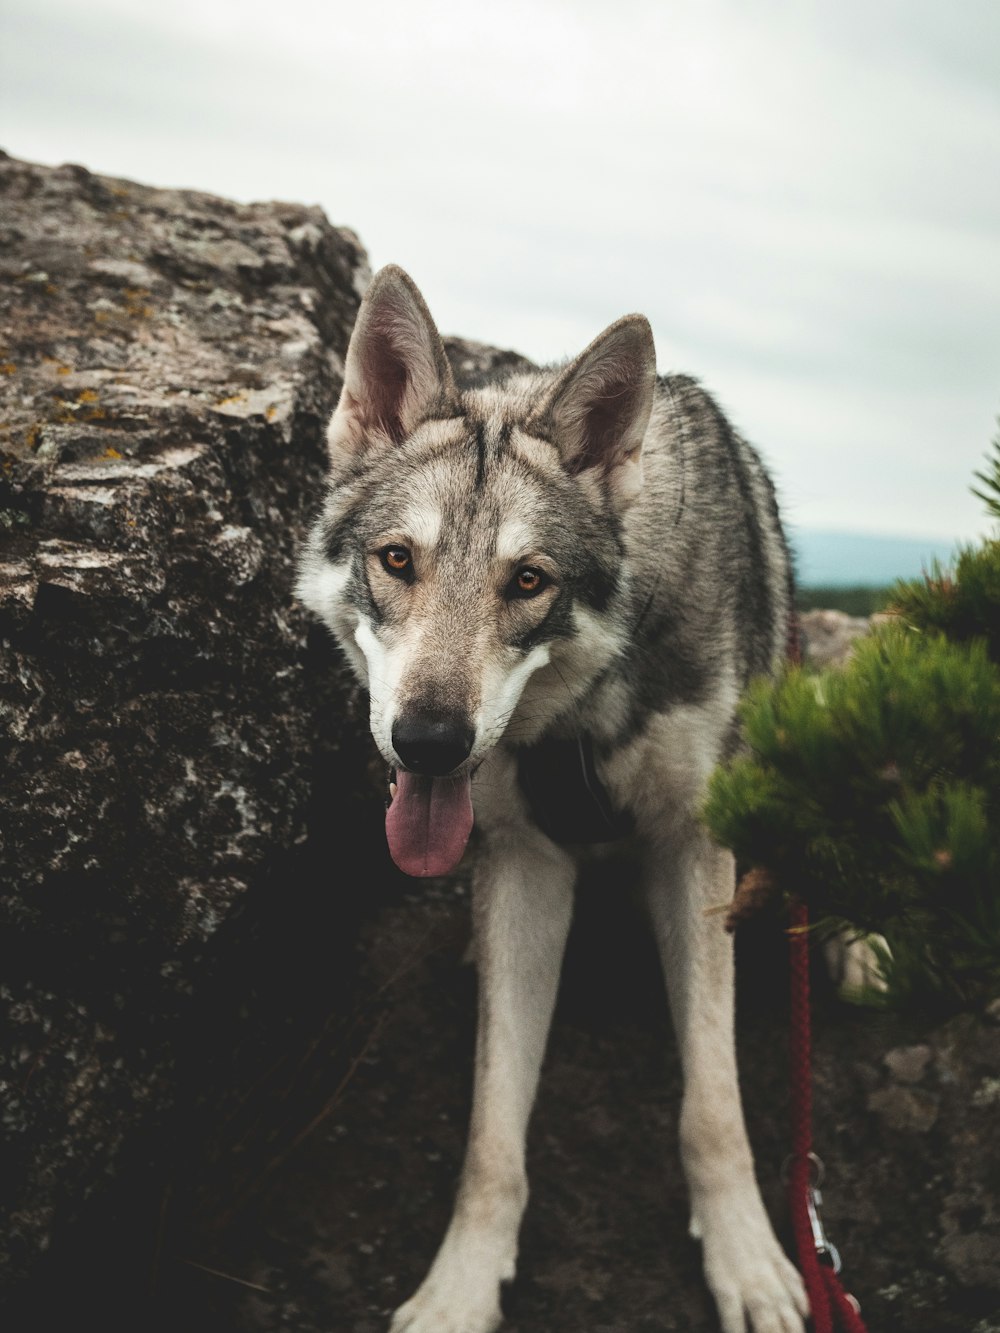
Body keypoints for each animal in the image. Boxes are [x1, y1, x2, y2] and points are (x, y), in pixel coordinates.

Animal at [300, 267, 816, 1333]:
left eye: (528, 581)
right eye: (397, 560)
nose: (429, 740)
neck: (579, 713)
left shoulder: (694, 846)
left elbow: (714, 1105)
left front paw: (748, 1263)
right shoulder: (525, 862)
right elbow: (493, 1132)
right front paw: (460, 1288)